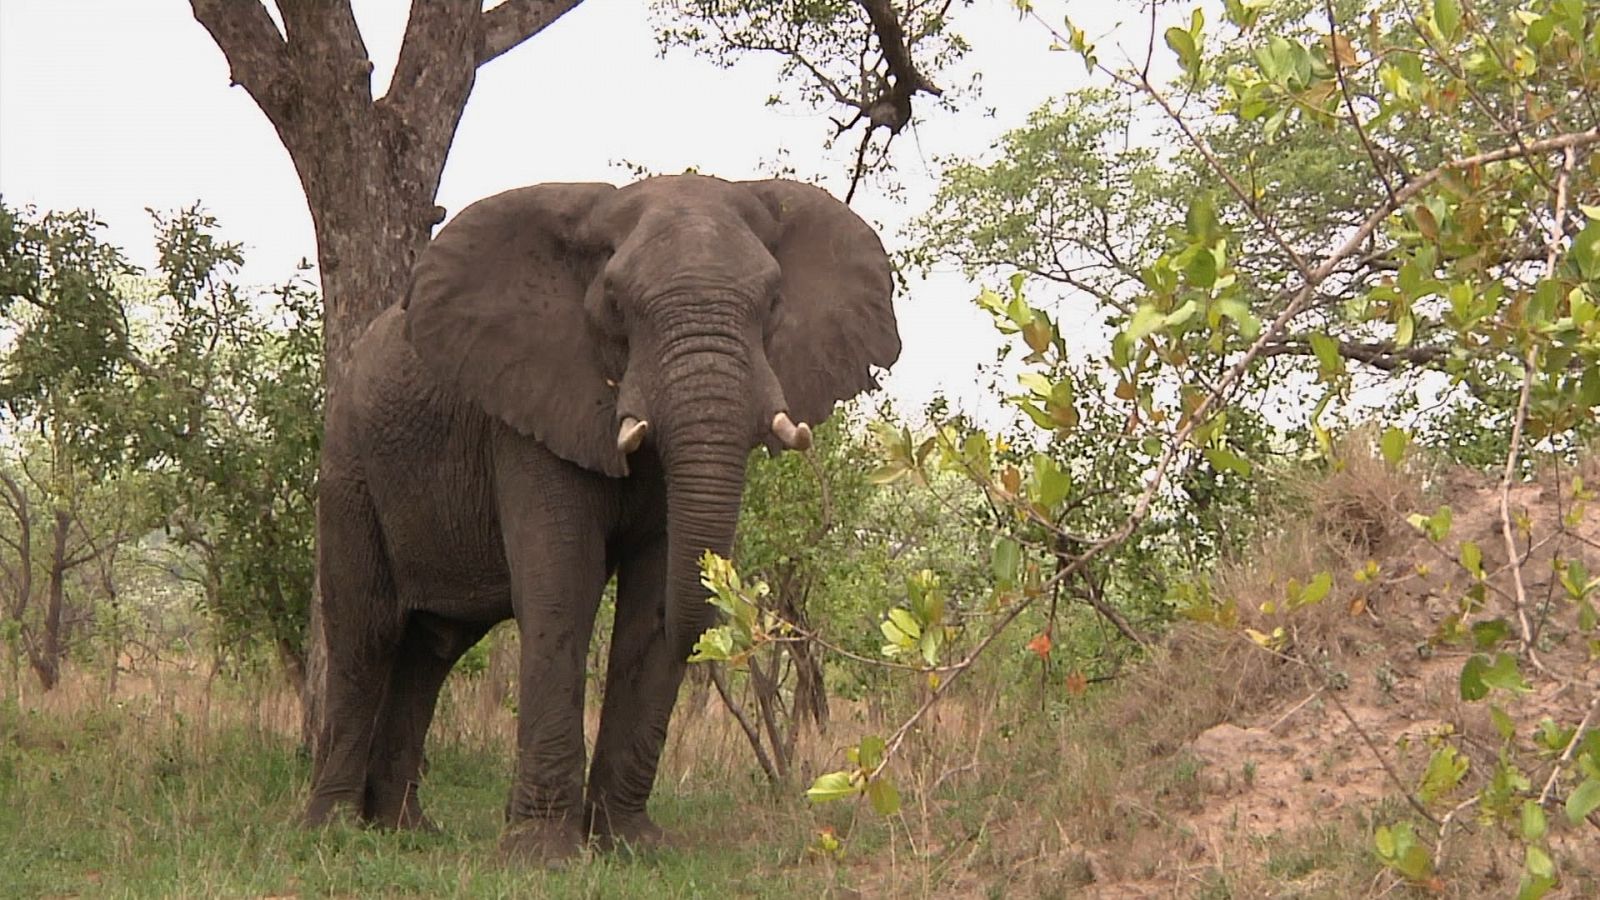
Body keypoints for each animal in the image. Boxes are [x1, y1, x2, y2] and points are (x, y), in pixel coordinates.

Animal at [300, 171, 902, 858]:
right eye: (615, 302)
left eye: (774, 300)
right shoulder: (529, 407)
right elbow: (564, 587)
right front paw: (542, 856)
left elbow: (653, 591)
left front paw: (632, 845)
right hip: (349, 470)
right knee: (366, 631)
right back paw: (331, 831)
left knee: (432, 647)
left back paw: (406, 831)